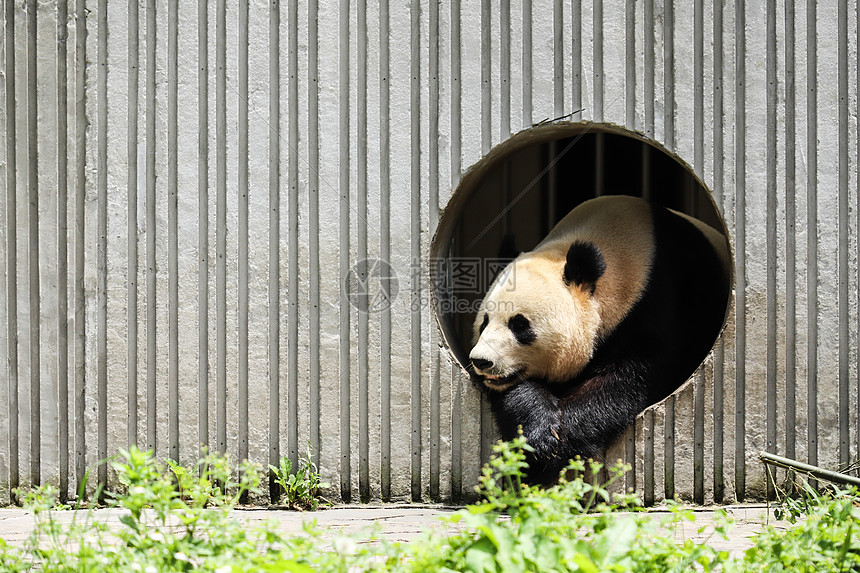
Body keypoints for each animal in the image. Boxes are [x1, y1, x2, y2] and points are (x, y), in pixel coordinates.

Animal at [466, 193, 728, 482]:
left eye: (520, 325)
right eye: (484, 322)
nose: (481, 361)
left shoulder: (659, 301)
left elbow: (624, 381)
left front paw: (555, 452)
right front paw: (539, 434)